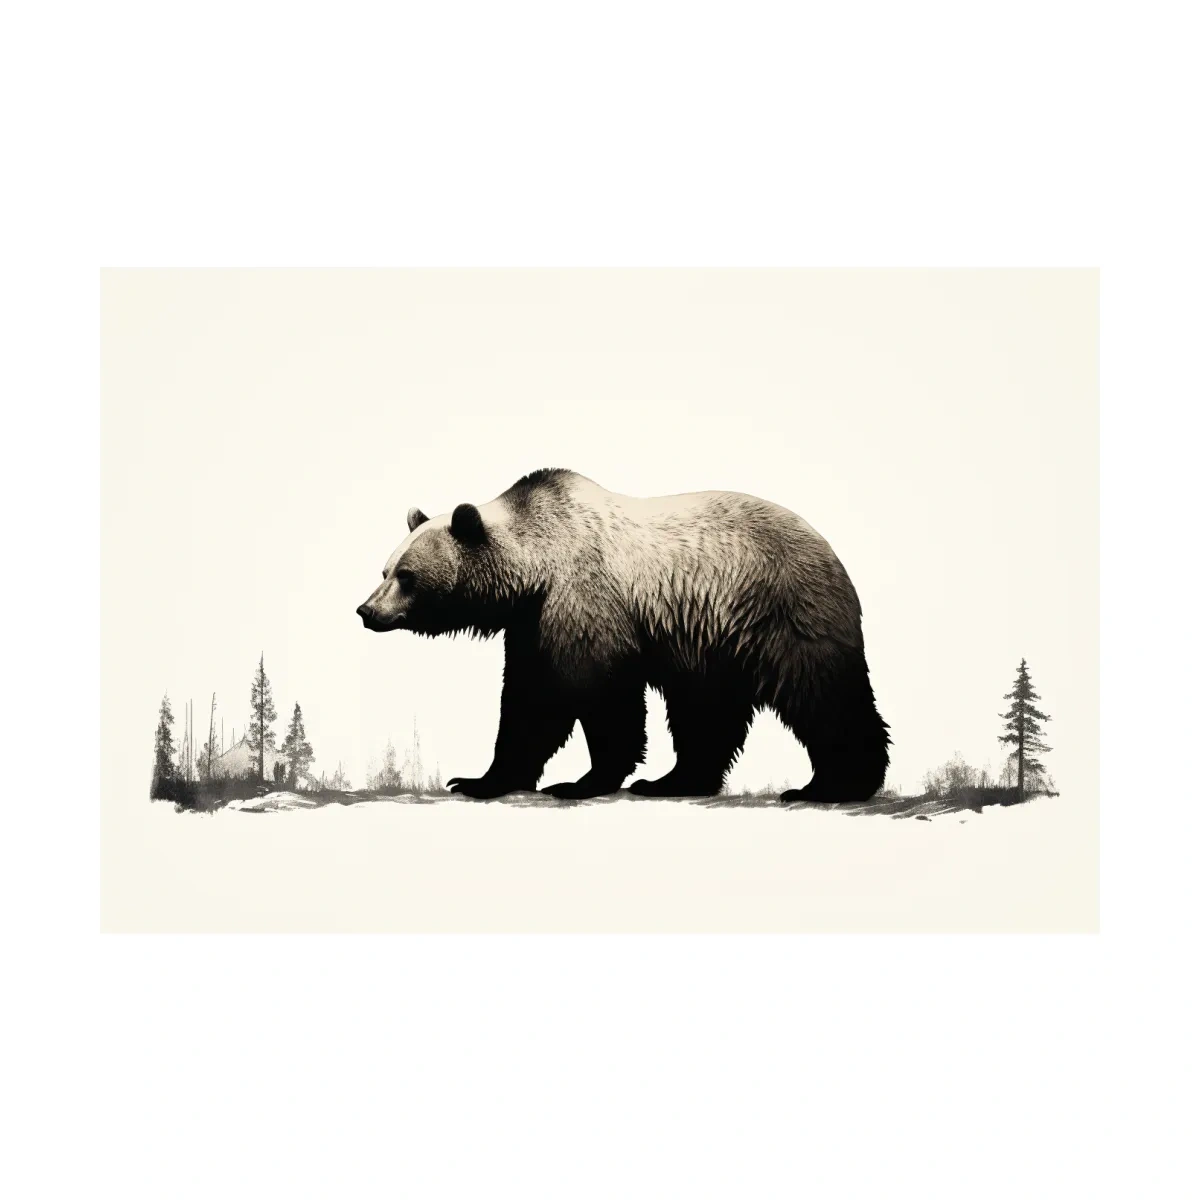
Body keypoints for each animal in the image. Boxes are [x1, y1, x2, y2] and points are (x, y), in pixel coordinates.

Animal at [356, 468, 889, 804]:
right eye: (384, 570)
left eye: (407, 576)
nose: (366, 610)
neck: (535, 571)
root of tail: (829, 549)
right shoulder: (531, 623)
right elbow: (528, 703)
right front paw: (478, 779)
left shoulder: (583, 601)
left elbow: (599, 695)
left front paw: (581, 781)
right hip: (710, 635)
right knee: (707, 710)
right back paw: (675, 780)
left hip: (779, 609)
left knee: (819, 692)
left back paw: (833, 784)